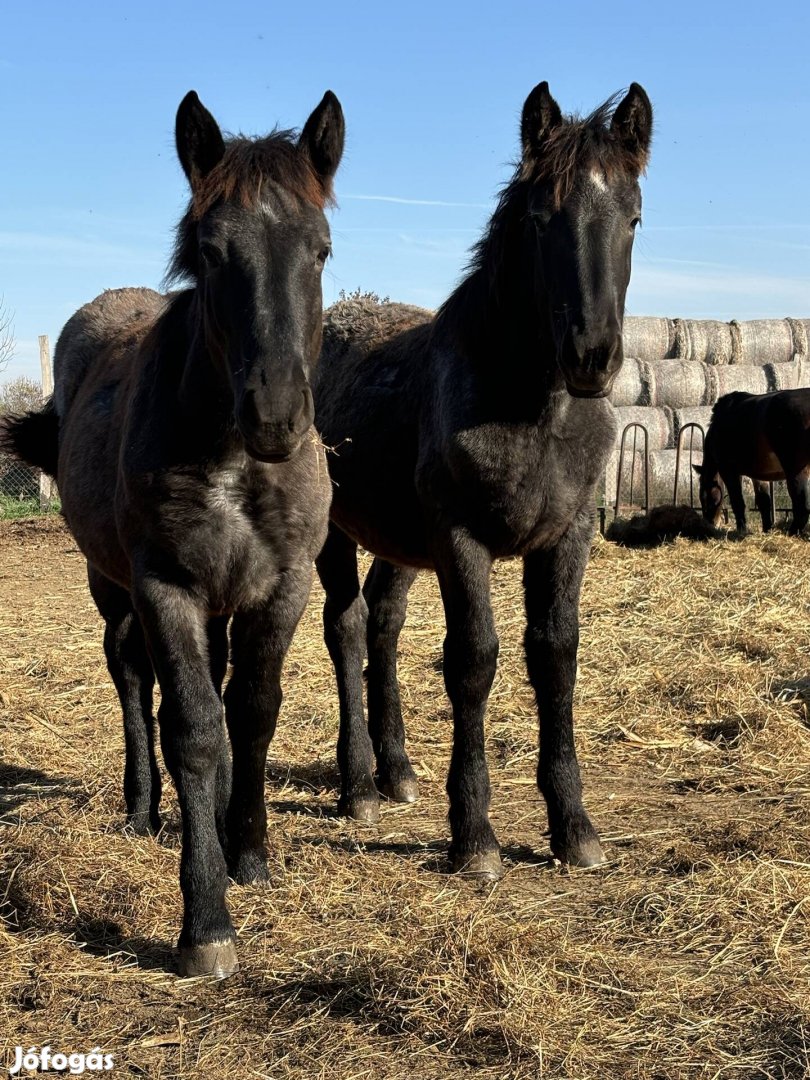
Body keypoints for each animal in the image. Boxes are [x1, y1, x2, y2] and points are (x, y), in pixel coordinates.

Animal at [313, 82, 656, 876]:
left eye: (633, 217)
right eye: (539, 220)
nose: (591, 356)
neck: (533, 407)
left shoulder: (565, 538)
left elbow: (554, 656)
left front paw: (574, 828)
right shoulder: (460, 538)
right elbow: (472, 661)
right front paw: (474, 837)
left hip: (400, 543)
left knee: (383, 621)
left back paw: (397, 772)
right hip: (335, 532)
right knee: (346, 627)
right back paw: (359, 786)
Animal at [695, 390, 810, 537]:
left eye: (705, 496)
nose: (710, 523)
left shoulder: (728, 470)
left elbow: (737, 501)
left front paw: (741, 529)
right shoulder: (760, 475)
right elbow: (764, 502)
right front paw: (767, 529)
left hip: (795, 470)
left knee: (802, 507)